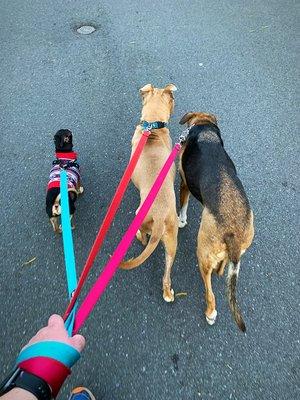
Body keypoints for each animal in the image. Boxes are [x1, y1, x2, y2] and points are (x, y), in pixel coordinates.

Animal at [120, 83, 179, 304]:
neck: (152, 127)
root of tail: (160, 216)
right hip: (171, 240)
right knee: (167, 273)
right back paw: (168, 294)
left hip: (141, 219)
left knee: (143, 238)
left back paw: (138, 235)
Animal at [179, 111, 254, 332]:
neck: (205, 128)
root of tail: (234, 233)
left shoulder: (184, 183)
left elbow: (183, 205)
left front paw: (181, 220)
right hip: (238, 248)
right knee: (223, 266)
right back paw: (221, 268)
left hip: (202, 253)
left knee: (209, 291)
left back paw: (210, 313)